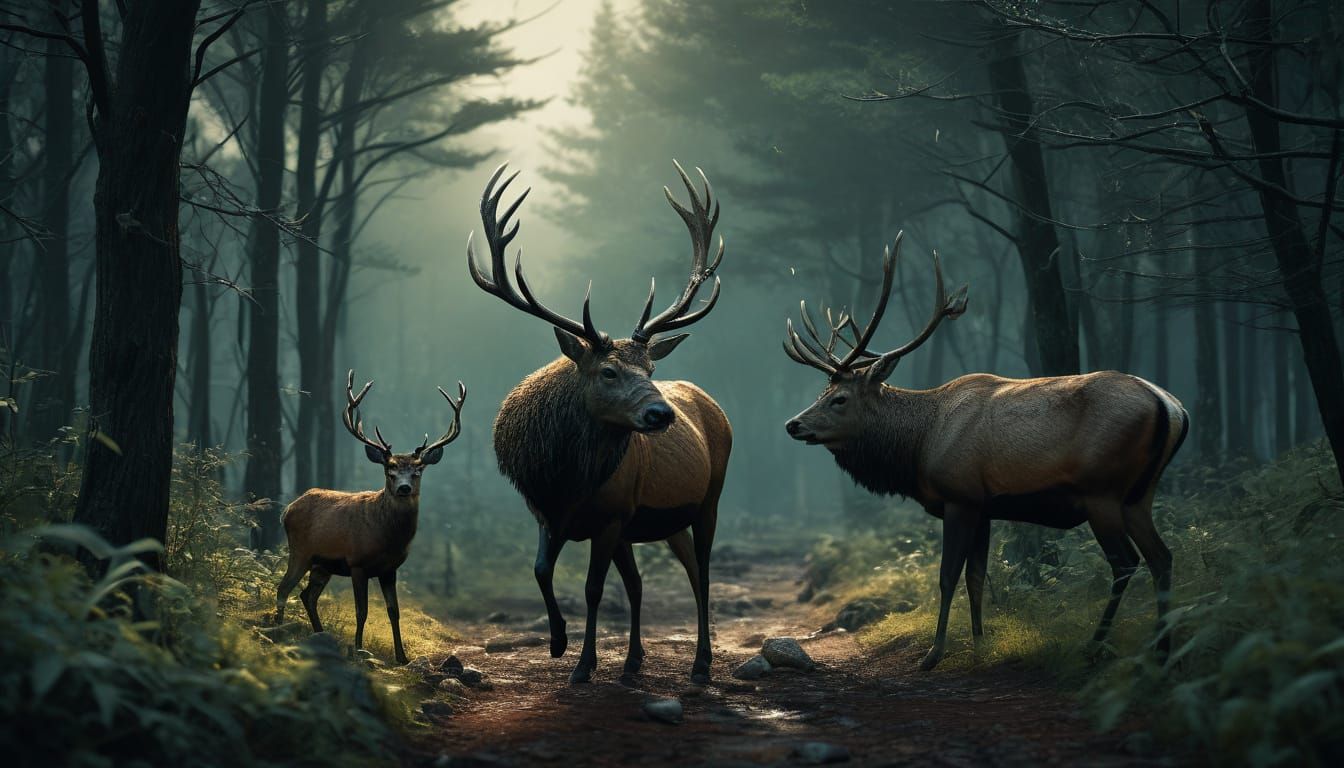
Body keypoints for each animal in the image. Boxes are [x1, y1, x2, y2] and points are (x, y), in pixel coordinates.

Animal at [275, 369, 466, 664]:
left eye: (418, 470)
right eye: (390, 469)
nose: (404, 488)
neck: (386, 538)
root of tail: (288, 509)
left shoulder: (390, 569)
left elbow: (393, 611)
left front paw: (402, 657)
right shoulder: (357, 563)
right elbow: (361, 611)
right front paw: (358, 651)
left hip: (322, 564)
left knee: (307, 595)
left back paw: (319, 635)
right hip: (300, 551)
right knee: (283, 589)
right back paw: (278, 633)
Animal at [468, 162, 732, 685]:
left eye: (650, 369)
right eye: (608, 371)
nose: (662, 414)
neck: (568, 481)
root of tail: (714, 406)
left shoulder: (610, 517)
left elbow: (593, 589)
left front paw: (583, 665)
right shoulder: (548, 511)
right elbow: (541, 570)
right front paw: (557, 642)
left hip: (709, 499)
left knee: (704, 574)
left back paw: (700, 664)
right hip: (656, 521)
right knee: (651, 580)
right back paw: (633, 663)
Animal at [782, 234, 1188, 671]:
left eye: (839, 399)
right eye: (822, 393)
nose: (793, 424)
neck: (920, 443)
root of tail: (1171, 407)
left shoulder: (959, 495)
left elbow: (947, 576)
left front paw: (934, 653)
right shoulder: (985, 504)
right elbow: (976, 577)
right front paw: (979, 645)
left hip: (1103, 491)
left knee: (1125, 562)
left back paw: (1095, 646)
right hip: (1139, 495)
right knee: (1162, 557)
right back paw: (1164, 650)